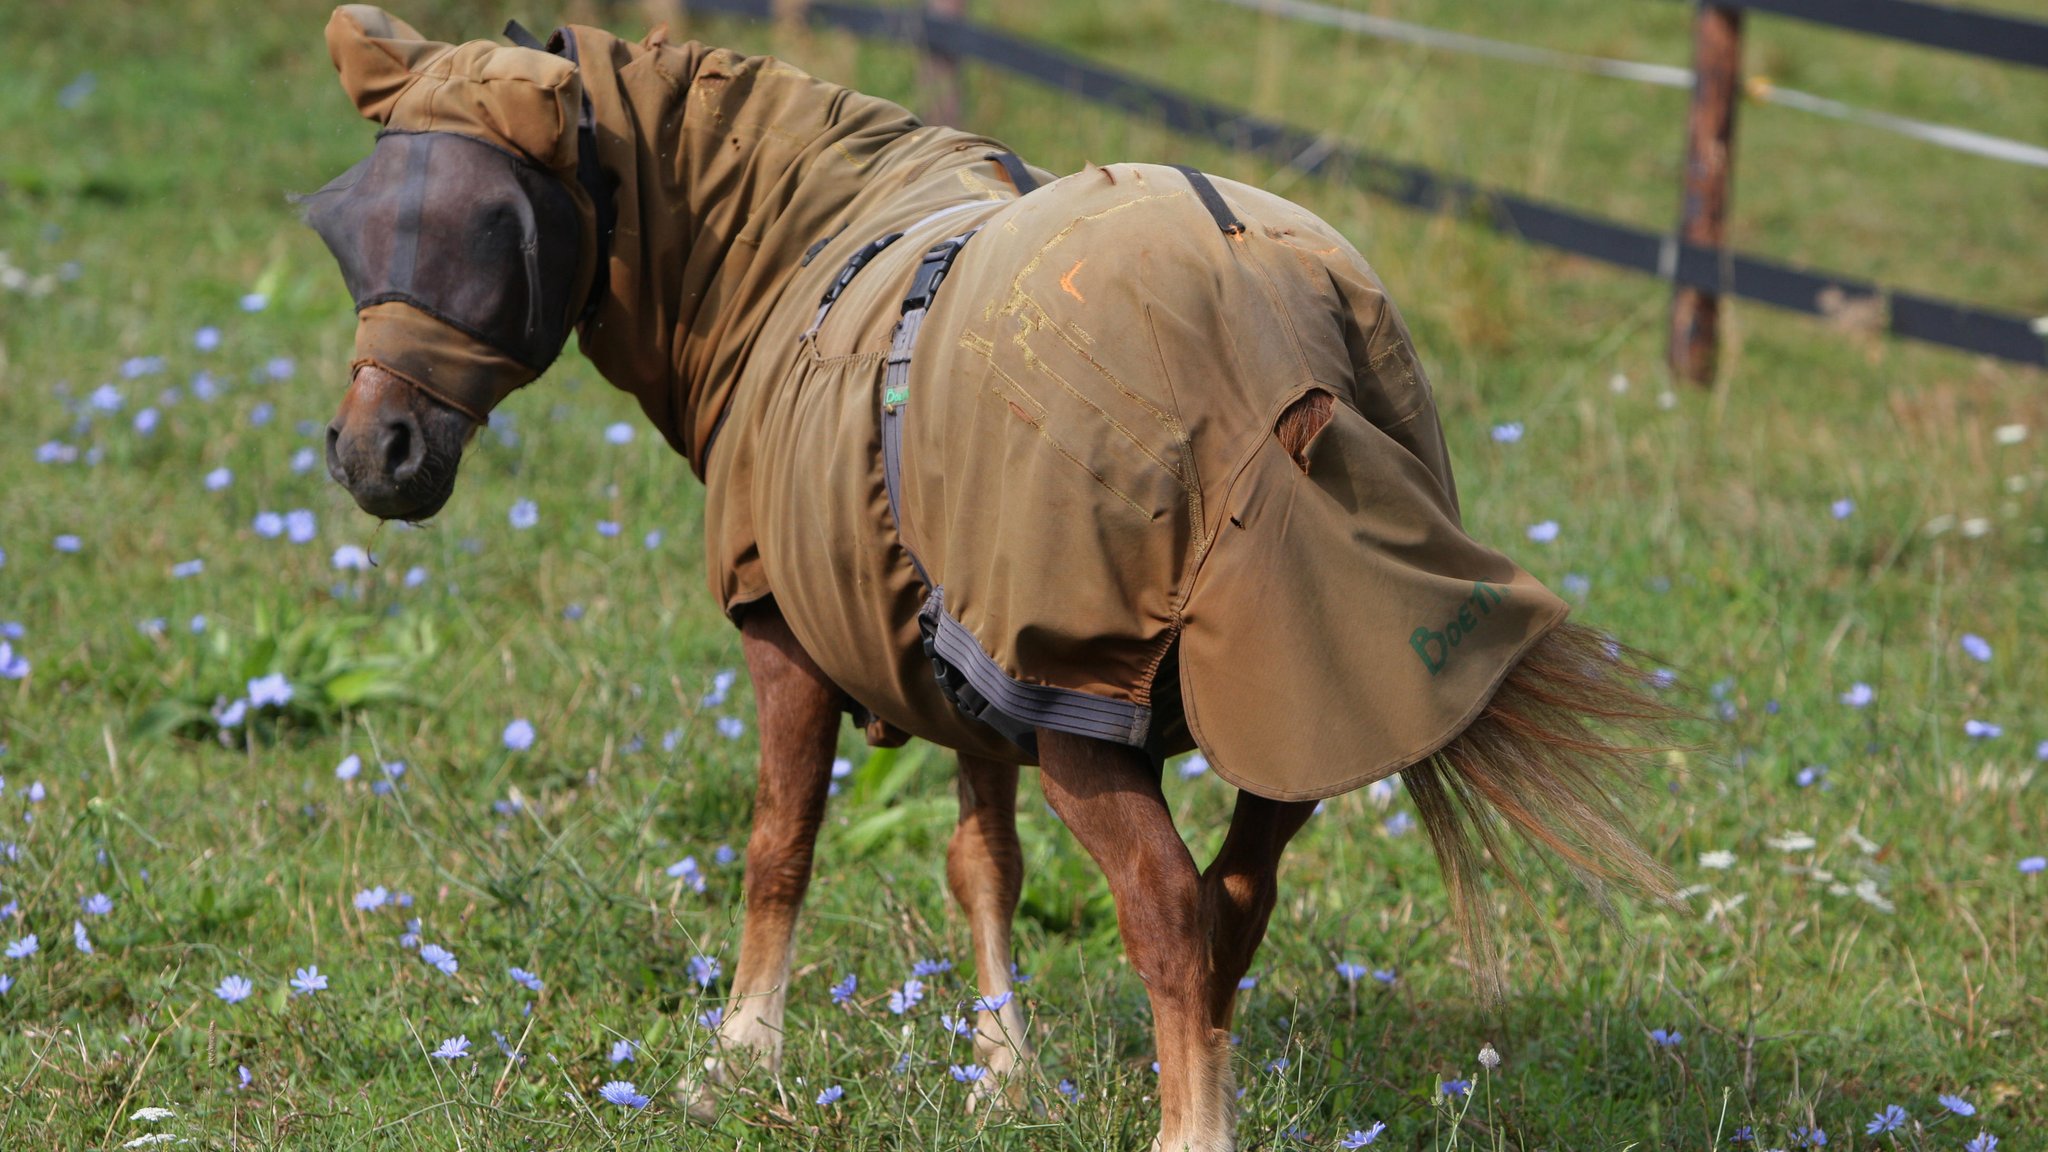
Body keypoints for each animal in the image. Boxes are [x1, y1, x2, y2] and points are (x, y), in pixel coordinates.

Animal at [307, 6, 1679, 1139]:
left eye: (496, 230)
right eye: (352, 224)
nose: (374, 455)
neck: (798, 248)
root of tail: (1275, 315)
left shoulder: (792, 635)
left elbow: (778, 846)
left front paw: (739, 1056)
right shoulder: (966, 664)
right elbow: (986, 867)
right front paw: (1002, 1069)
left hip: (1093, 716)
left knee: (1171, 911)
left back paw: (1190, 1130)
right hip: (1290, 705)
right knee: (1235, 902)